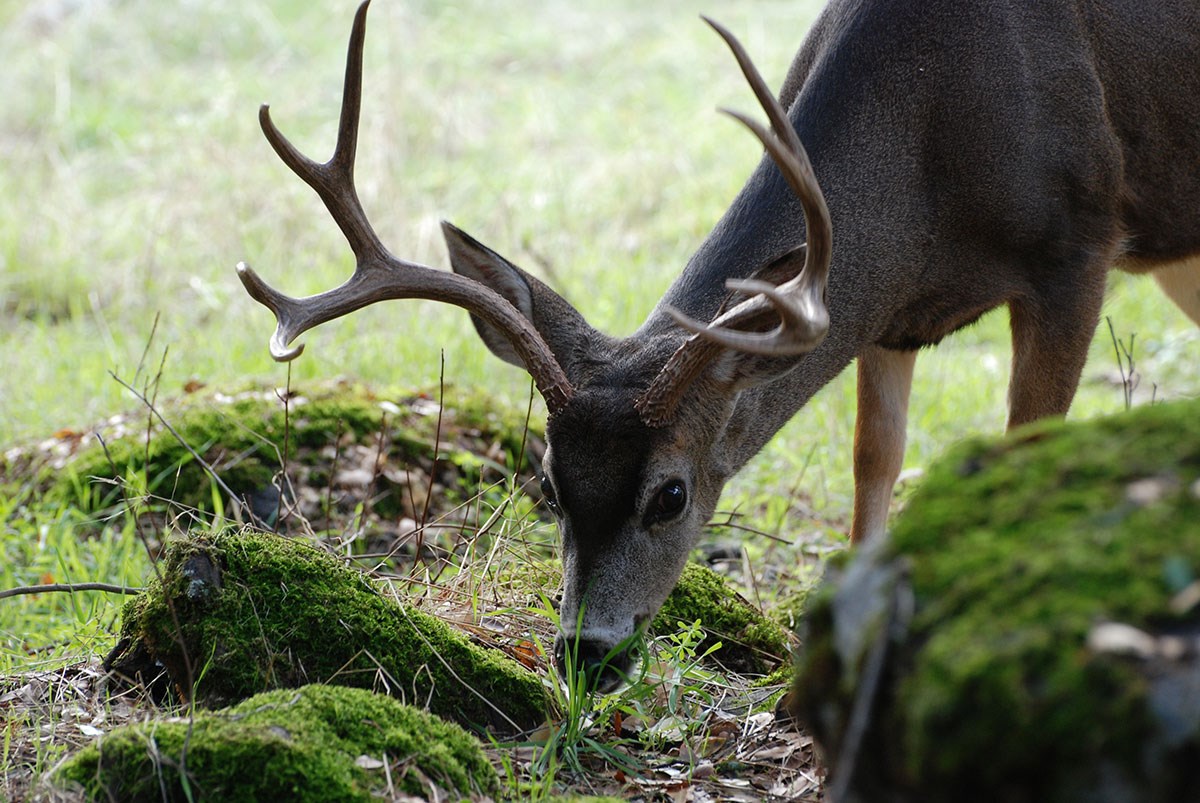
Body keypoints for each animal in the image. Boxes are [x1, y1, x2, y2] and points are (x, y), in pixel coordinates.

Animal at [238, 1, 1200, 691]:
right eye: (548, 482)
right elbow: (875, 460)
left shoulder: (1077, 246)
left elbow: (1025, 443)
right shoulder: (889, 313)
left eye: (670, 495)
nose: (586, 652)